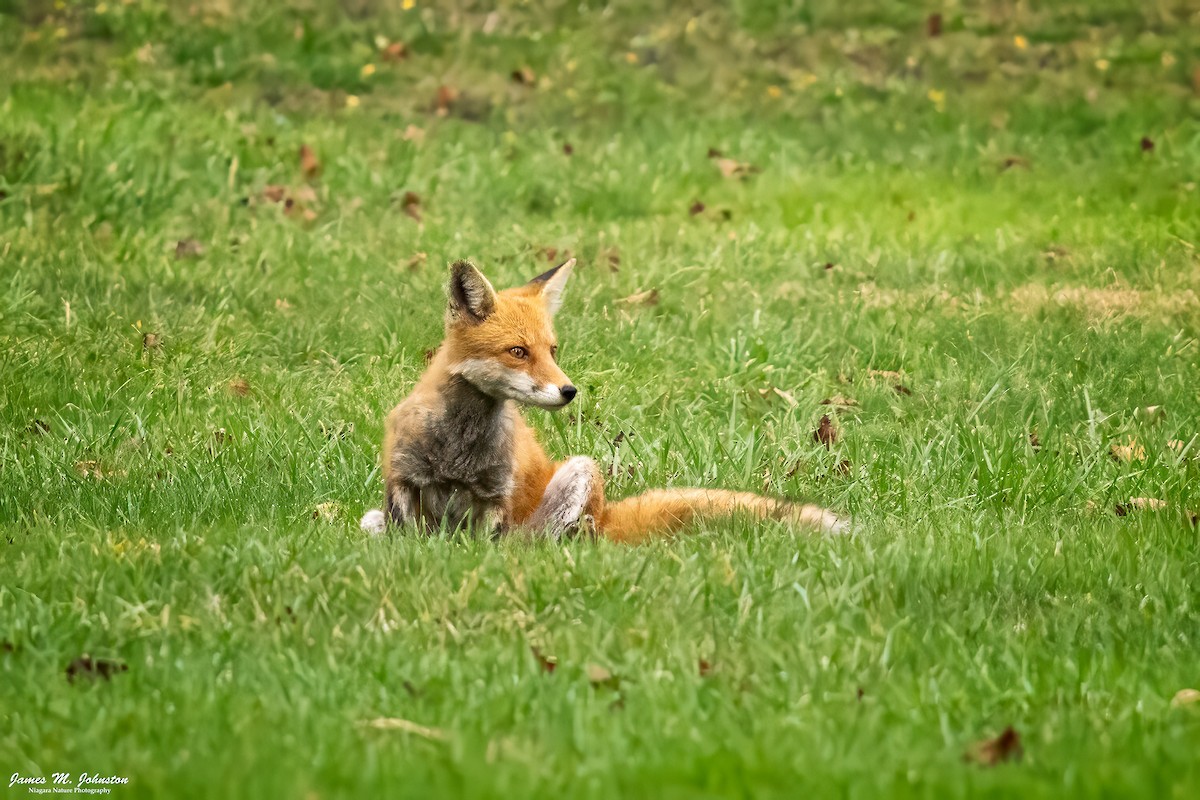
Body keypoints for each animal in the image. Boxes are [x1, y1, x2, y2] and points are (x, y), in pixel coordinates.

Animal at [359, 258, 849, 542]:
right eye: (519, 352)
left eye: (552, 350)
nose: (569, 390)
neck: (458, 447)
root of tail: (606, 513)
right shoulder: (401, 483)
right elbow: (406, 540)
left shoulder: (495, 498)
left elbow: (484, 545)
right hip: (374, 518)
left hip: (580, 474)